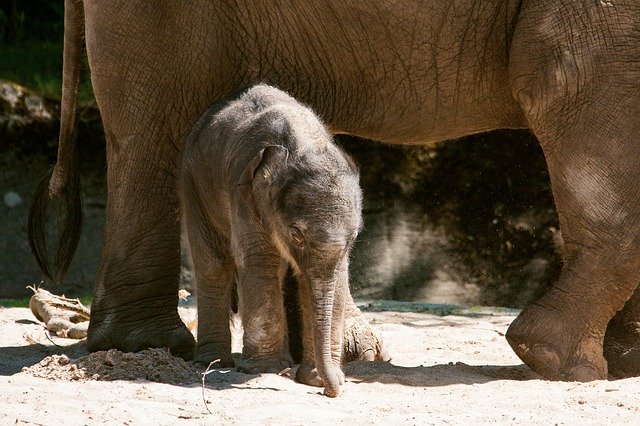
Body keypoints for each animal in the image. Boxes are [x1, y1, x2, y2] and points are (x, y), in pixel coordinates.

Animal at [180, 83, 362, 396]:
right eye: (296, 234)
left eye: (354, 236)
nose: (332, 390)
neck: (304, 144)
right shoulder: (244, 194)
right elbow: (260, 260)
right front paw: (264, 370)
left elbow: (333, 278)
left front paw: (315, 377)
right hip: (194, 185)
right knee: (212, 265)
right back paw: (212, 362)